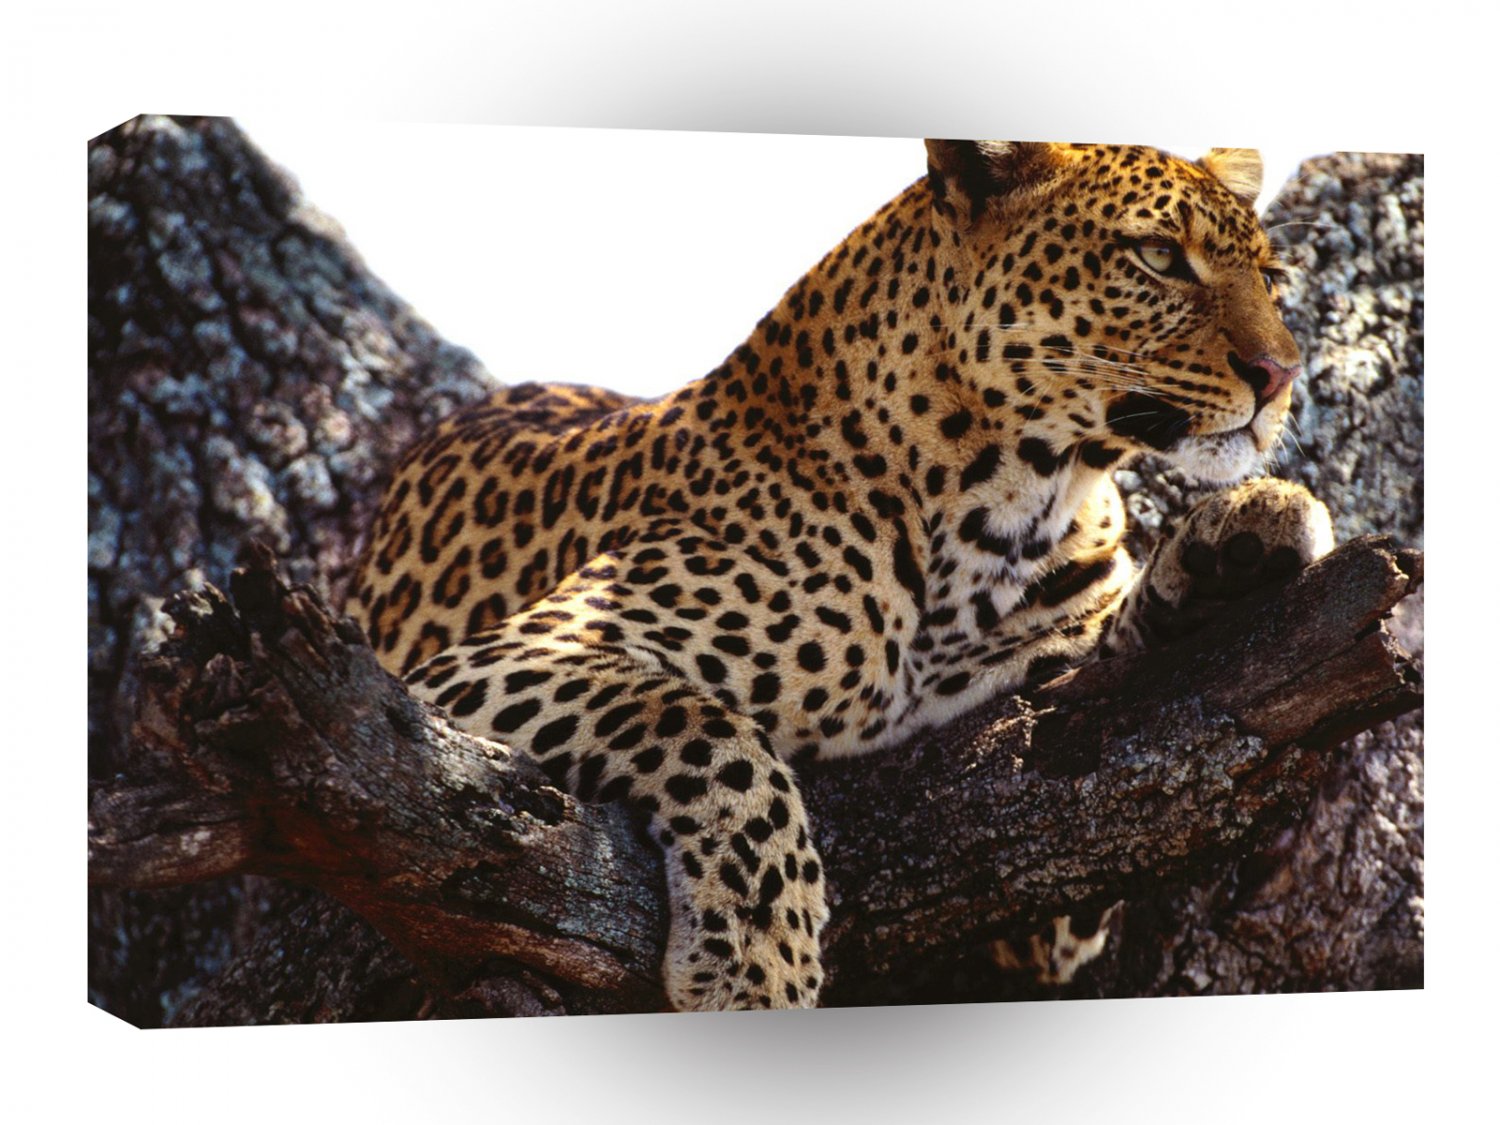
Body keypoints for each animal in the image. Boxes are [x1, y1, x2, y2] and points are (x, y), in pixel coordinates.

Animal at [347, 139, 1334, 1011]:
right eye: (1159, 256)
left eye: (1270, 278)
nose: (1280, 373)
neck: (1009, 506)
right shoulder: (486, 667)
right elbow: (712, 732)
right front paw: (758, 957)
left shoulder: (1038, 882)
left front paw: (1230, 555)